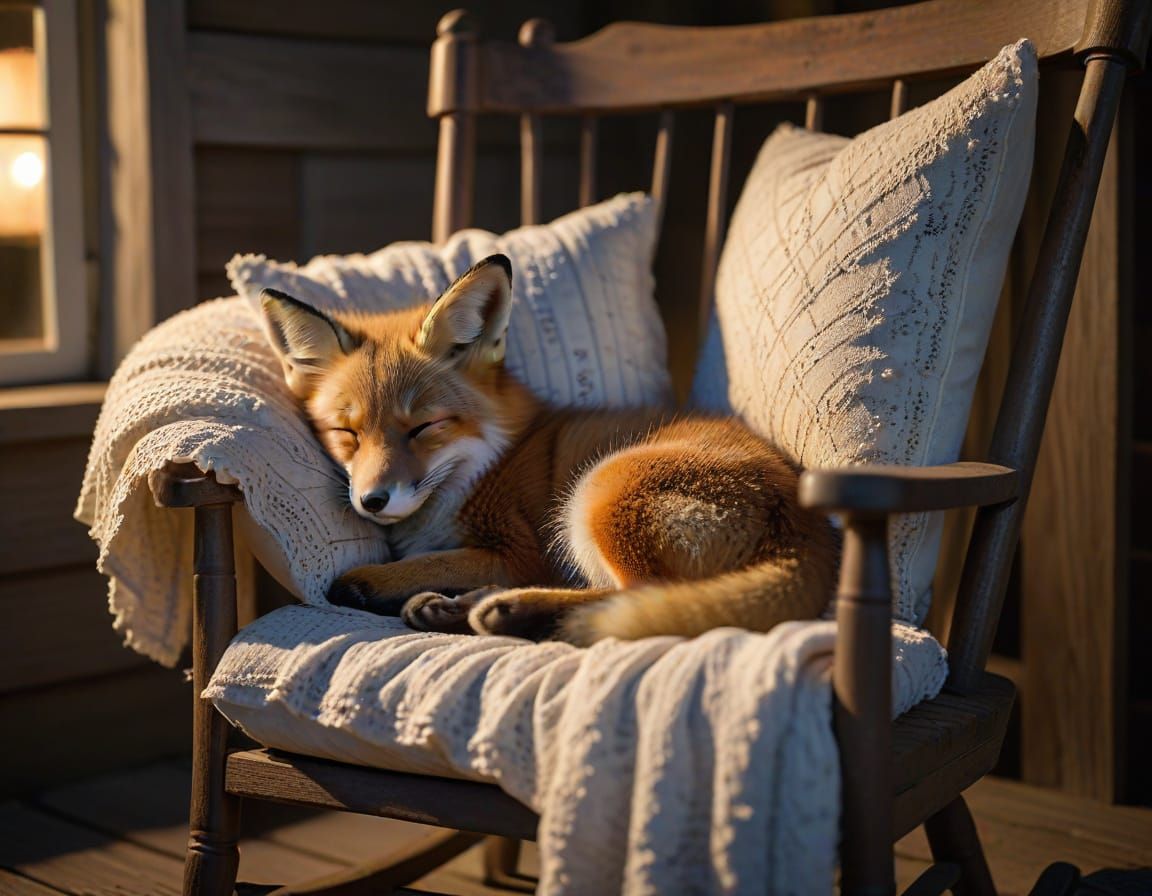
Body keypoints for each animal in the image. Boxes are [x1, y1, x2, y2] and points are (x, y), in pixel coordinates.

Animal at [258, 254, 839, 645]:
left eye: (423, 428)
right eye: (347, 433)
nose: (372, 501)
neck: (483, 464)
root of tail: (807, 524)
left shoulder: (518, 549)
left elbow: (430, 560)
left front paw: (370, 580)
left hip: (601, 492)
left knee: (642, 595)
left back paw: (512, 611)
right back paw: (466, 609)